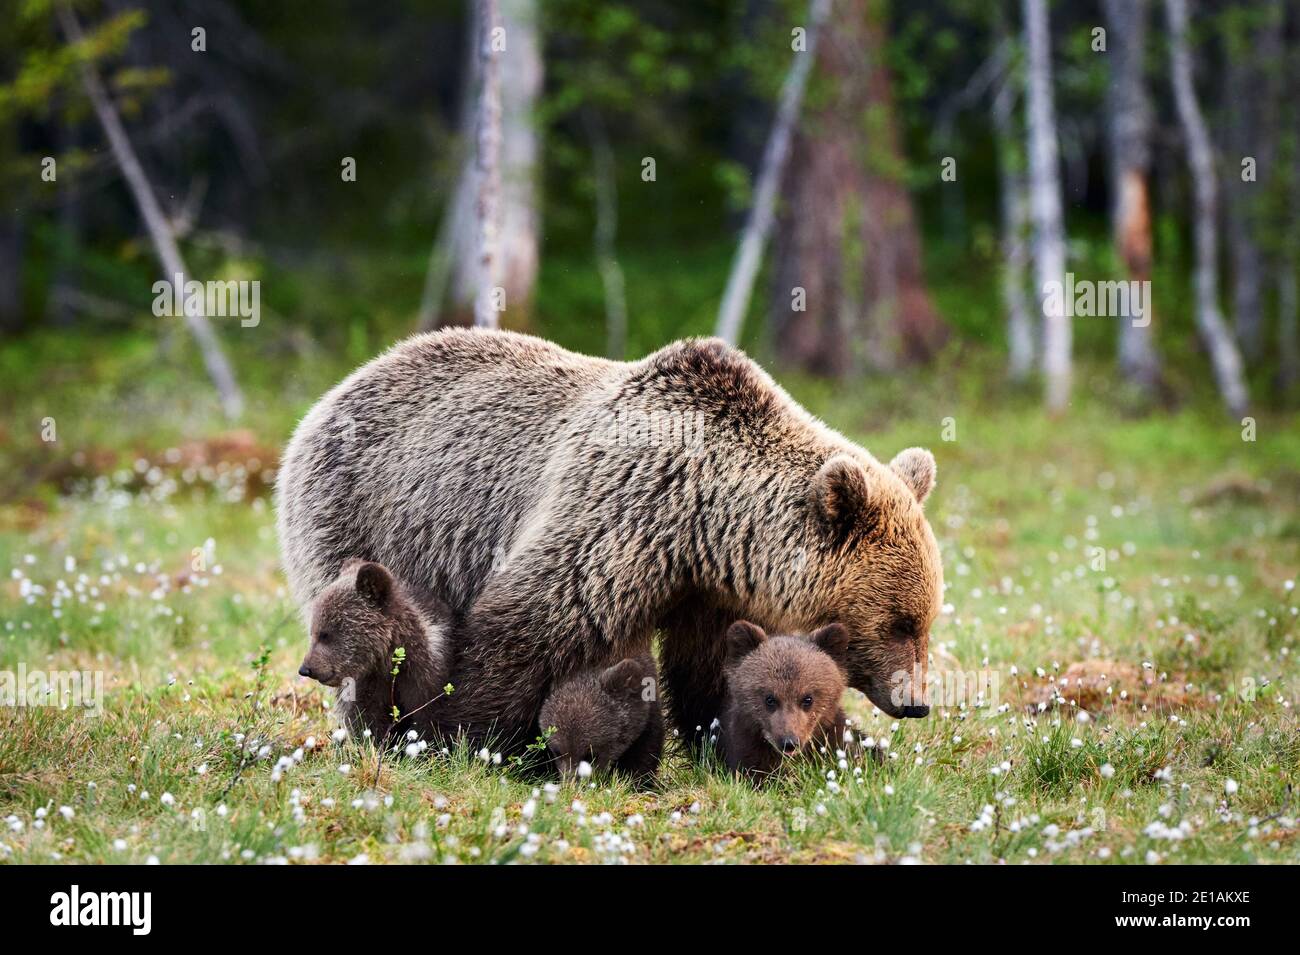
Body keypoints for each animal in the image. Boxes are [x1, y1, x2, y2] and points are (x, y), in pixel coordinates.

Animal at [298, 559, 454, 744]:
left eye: (325, 634)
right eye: (313, 632)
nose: (305, 669)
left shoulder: (424, 675)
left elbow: (429, 715)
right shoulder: (370, 682)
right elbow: (368, 719)